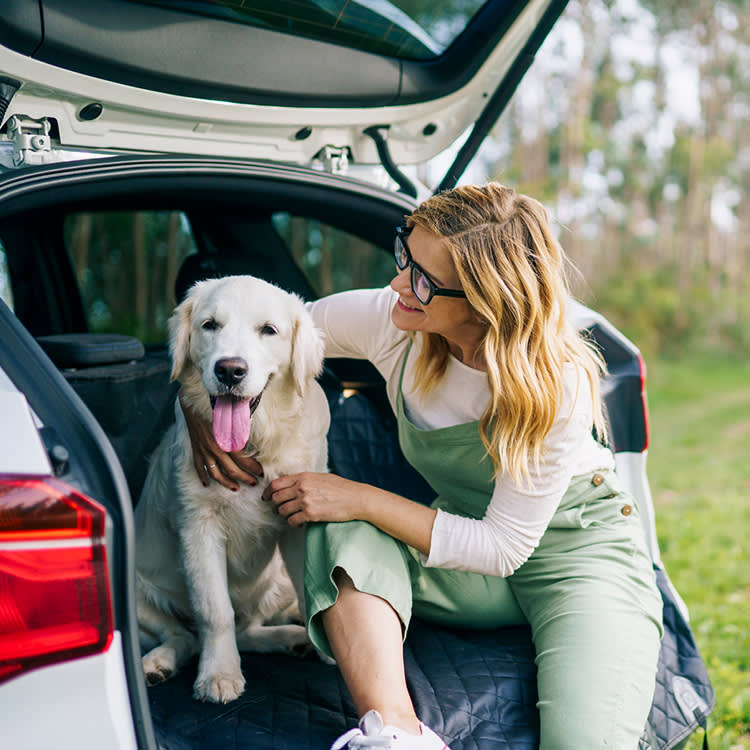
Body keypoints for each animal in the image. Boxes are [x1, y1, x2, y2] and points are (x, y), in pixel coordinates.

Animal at [135, 276, 328, 704]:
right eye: (210, 325)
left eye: (269, 330)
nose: (230, 370)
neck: (252, 446)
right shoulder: (199, 527)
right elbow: (215, 611)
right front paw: (219, 674)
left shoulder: (299, 516)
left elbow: (314, 592)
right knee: (184, 635)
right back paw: (158, 663)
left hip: (276, 581)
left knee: (249, 631)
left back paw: (292, 638)